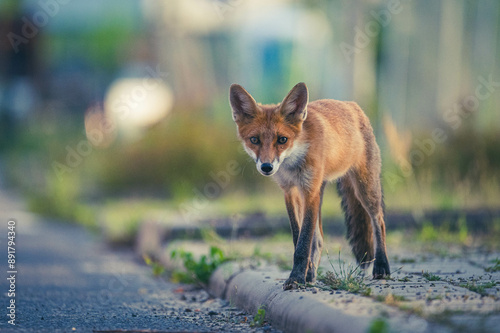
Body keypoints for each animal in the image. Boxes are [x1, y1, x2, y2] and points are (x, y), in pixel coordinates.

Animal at [230, 82, 390, 288]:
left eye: (282, 139)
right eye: (254, 140)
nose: (267, 167)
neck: (294, 161)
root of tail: (353, 106)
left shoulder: (309, 191)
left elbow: (304, 242)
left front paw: (296, 278)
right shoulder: (290, 191)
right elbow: (298, 237)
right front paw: (302, 274)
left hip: (365, 187)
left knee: (379, 221)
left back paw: (382, 266)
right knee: (319, 239)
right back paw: (311, 273)